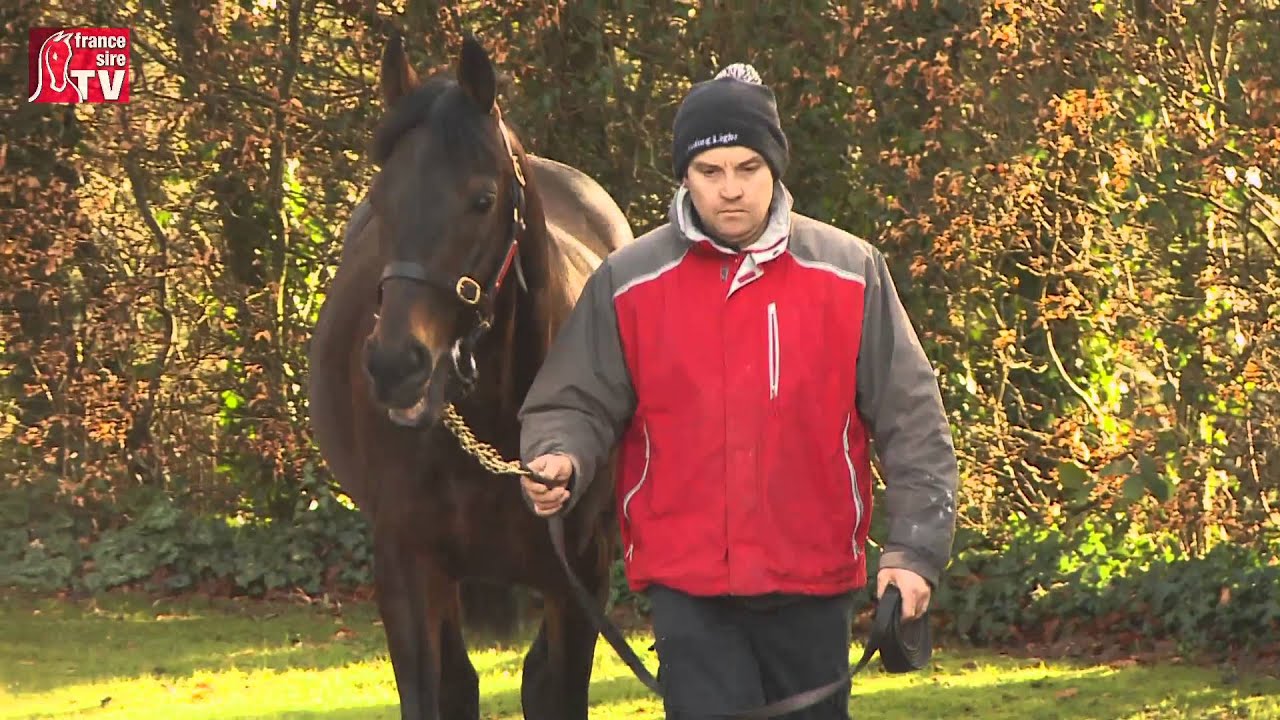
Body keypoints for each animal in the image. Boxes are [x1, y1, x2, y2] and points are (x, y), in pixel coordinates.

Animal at [306, 31, 634, 720]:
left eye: (482, 200)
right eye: (381, 200)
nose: (396, 364)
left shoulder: (581, 575)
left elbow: (555, 688)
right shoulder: (407, 571)